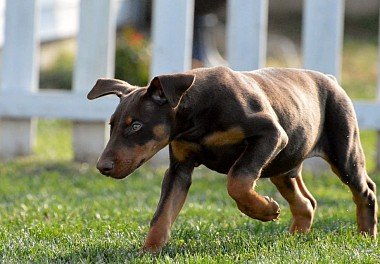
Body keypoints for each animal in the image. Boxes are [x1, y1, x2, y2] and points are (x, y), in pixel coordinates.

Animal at [87, 65, 378, 252]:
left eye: (136, 126)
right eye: (112, 125)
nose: (102, 167)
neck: (195, 117)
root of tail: (331, 79)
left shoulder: (270, 135)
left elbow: (237, 180)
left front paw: (263, 210)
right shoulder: (179, 168)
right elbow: (162, 213)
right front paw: (148, 251)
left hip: (342, 151)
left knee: (365, 190)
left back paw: (365, 236)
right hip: (283, 163)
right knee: (306, 202)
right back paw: (294, 239)